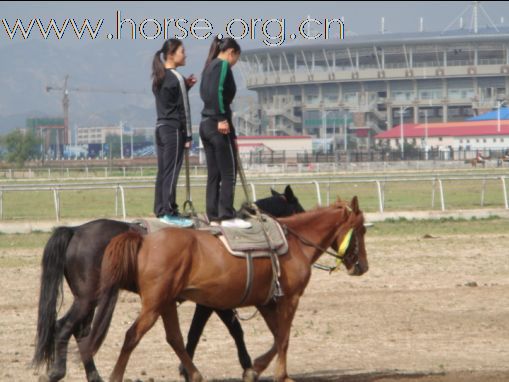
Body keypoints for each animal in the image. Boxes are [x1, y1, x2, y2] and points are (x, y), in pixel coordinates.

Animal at [34, 186, 302, 382]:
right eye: (297, 207)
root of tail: (76, 230)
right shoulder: (212, 303)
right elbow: (224, 330)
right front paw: (246, 367)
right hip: (88, 298)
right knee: (65, 327)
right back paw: (59, 372)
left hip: (90, 300)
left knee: (80, 332)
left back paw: (93, 375)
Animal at [85, 197, 368, 382]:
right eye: (361, 229)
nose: (362, 266)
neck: (295, 243)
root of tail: (144, 240)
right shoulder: (290, 298)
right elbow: (284, 337)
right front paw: (281, 375)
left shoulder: (266, 302)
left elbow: (277, 336)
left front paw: (255, 368)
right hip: (154, 304)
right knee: (132, 335)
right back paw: (116, 376)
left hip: (165, 303)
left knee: (174, 338)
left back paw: (195, 374)